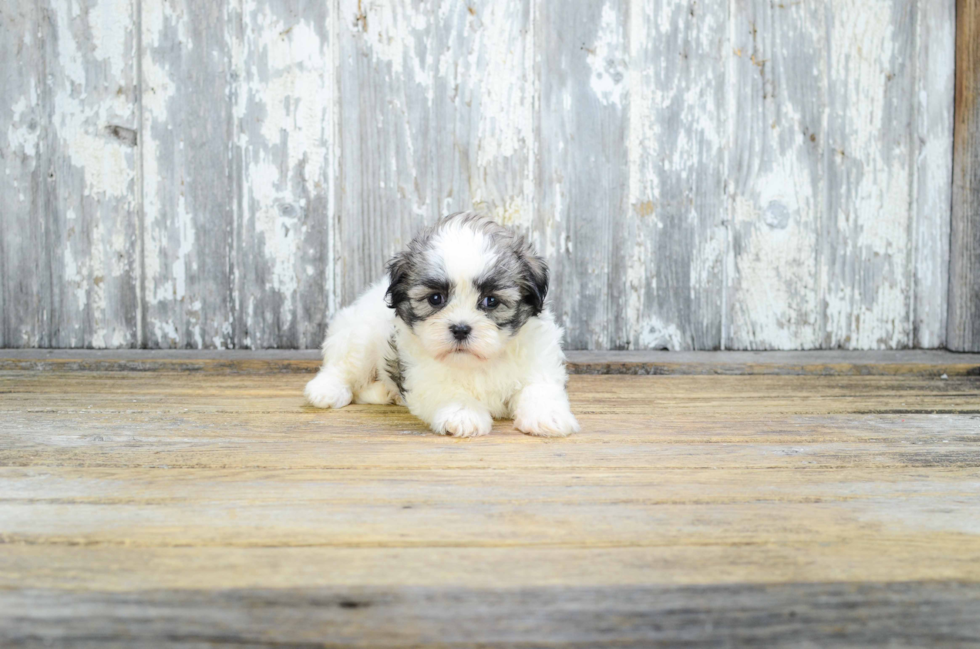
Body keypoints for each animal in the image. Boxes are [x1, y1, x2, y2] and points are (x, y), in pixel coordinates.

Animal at [306, 210, 580, 438]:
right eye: (436, 299)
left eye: (491, 301)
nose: (460, 329)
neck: (476, 363)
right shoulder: (423, 376)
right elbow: (449, 392)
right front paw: (463, 414)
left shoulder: (539, 362)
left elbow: (539, 388)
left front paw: (547, 416)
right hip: (360, 336)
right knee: (343, 366)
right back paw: (327, 390)